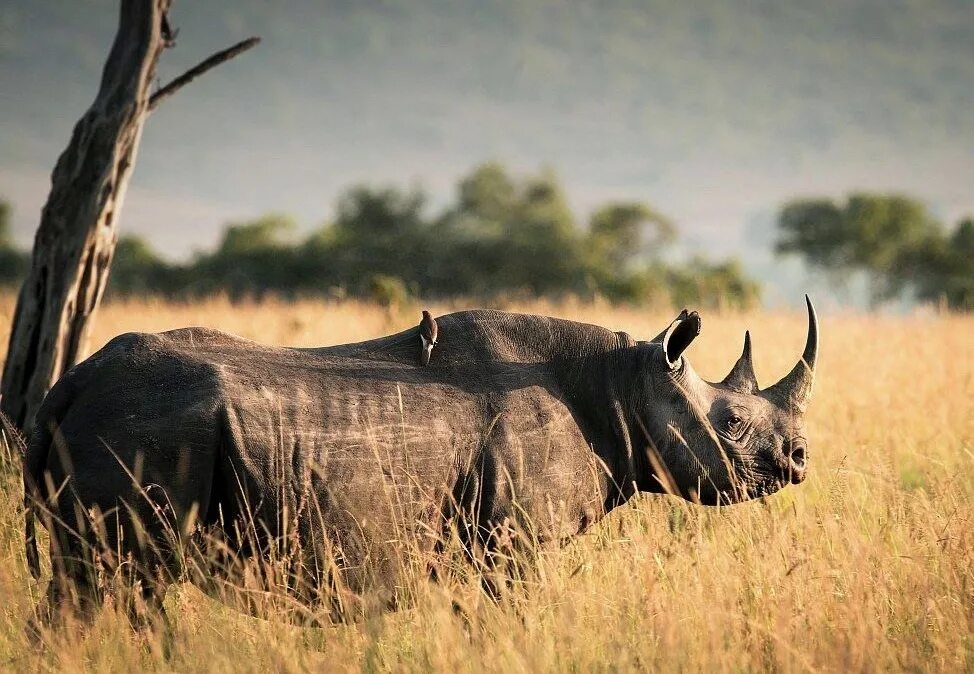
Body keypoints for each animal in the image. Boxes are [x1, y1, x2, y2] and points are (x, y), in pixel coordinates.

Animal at [21, 296, 816, 624]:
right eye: (732, 423)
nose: (801, 460)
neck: (623, 382)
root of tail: (67, 387)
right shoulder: (515, 540)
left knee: (96, 586)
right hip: (148, 434)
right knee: (119, 580)